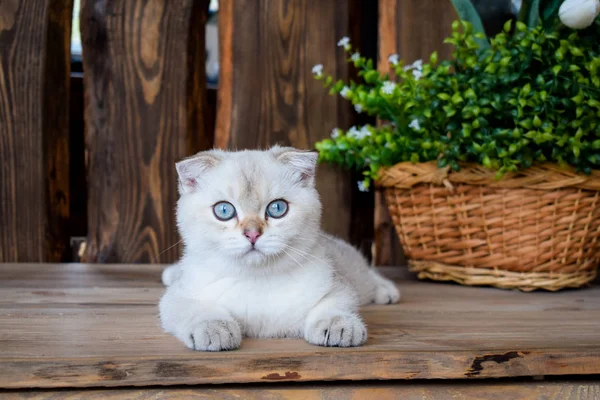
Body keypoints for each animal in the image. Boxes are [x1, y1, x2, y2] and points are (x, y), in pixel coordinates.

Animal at [158, 146, 398, 350]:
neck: (256, 280)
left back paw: (386, 291)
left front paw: (339, 325)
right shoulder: (176, 297)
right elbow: (199, 309)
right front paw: (214, 329)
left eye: (277, 208)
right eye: (224, 210)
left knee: (367, 275)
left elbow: (333, 305)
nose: (252, 234)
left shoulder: (338, 286)